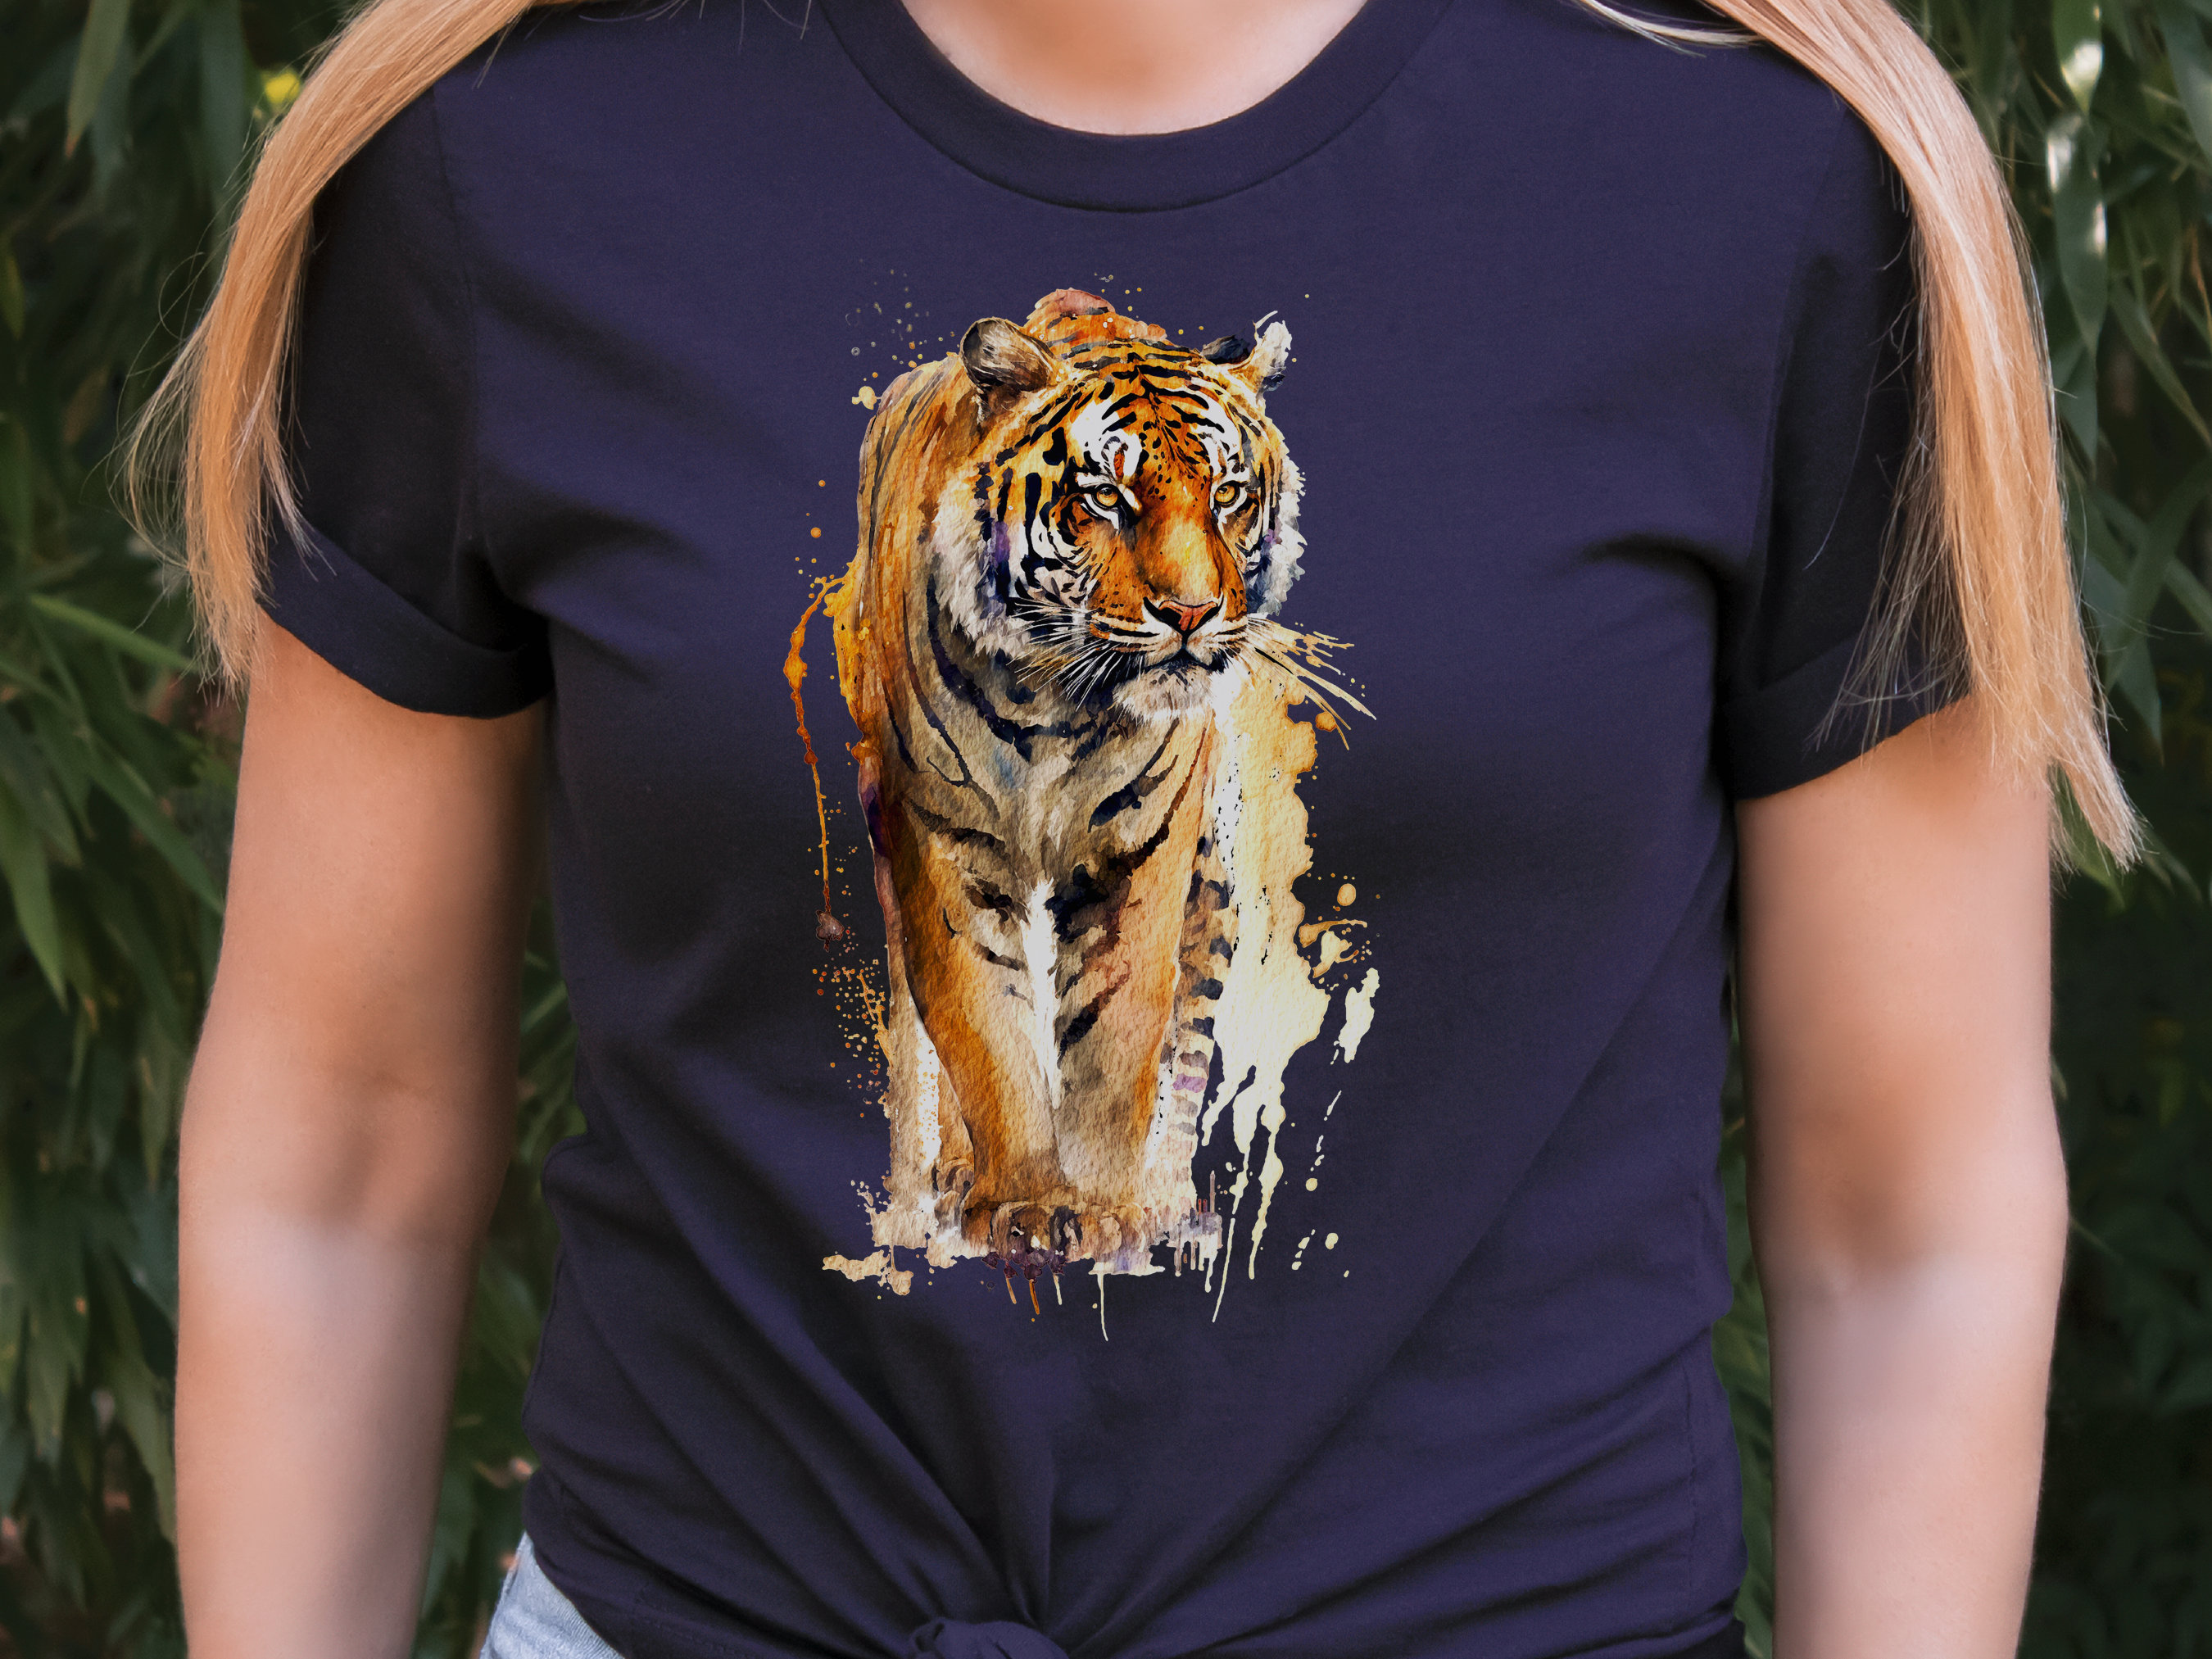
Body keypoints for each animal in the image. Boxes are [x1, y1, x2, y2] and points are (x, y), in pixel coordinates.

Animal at [822, 288, 1308, 1284]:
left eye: (1228, 495)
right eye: (1106, 498)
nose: (1194, 613)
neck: (1057, 704)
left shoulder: (1145, 851)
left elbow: (1121, 1035)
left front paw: (1107, 1210)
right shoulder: (942, 844)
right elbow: (983, 1027)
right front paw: (1027, 1205)